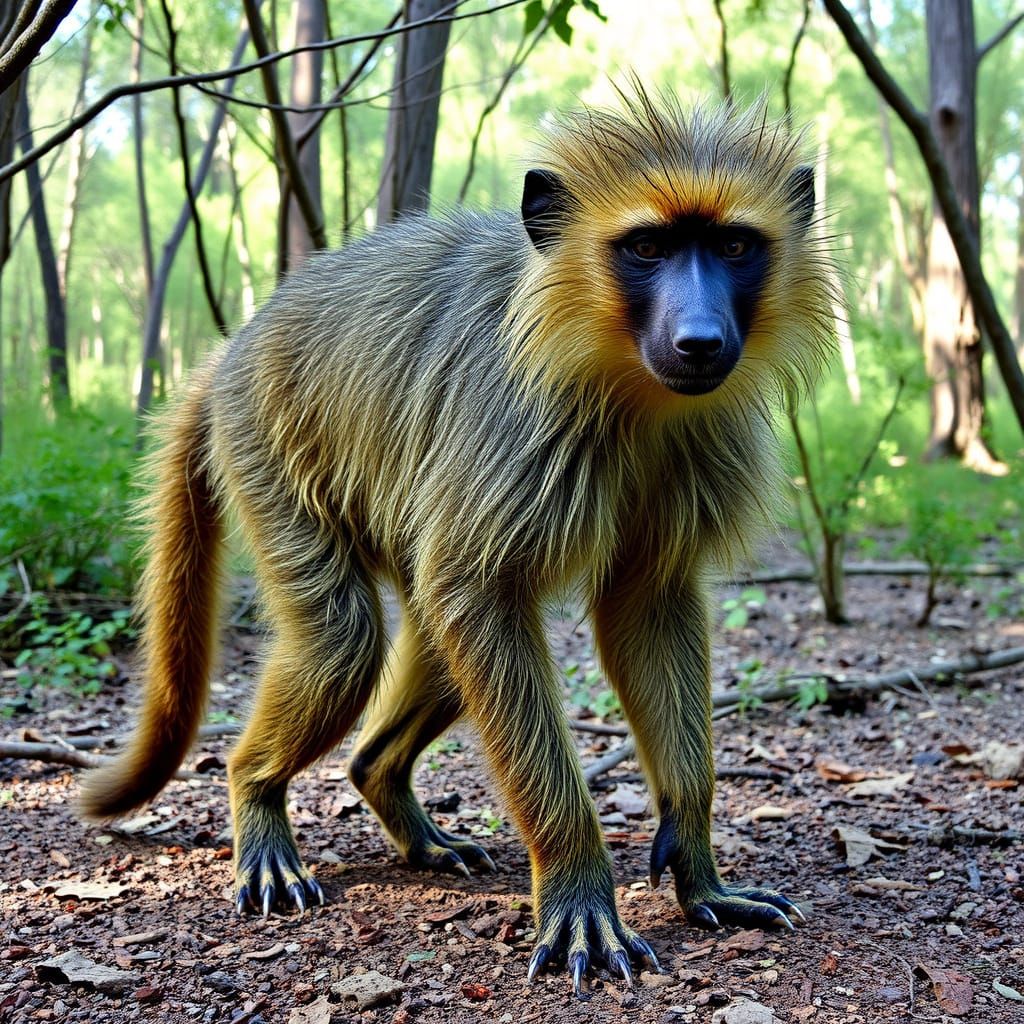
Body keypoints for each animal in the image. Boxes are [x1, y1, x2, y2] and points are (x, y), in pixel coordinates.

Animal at [80, 86, 836, 995]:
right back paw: (254, 797)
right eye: (648, 247)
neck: (625, 384)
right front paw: (578, 887)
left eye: (731, 246)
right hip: (264, 443)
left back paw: (387, 793)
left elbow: (640, 603)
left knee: (434, 643)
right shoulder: (517, 420)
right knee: (347, 641)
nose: (699, 338)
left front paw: (695, 858)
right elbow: (478, 596)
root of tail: (230, 355)